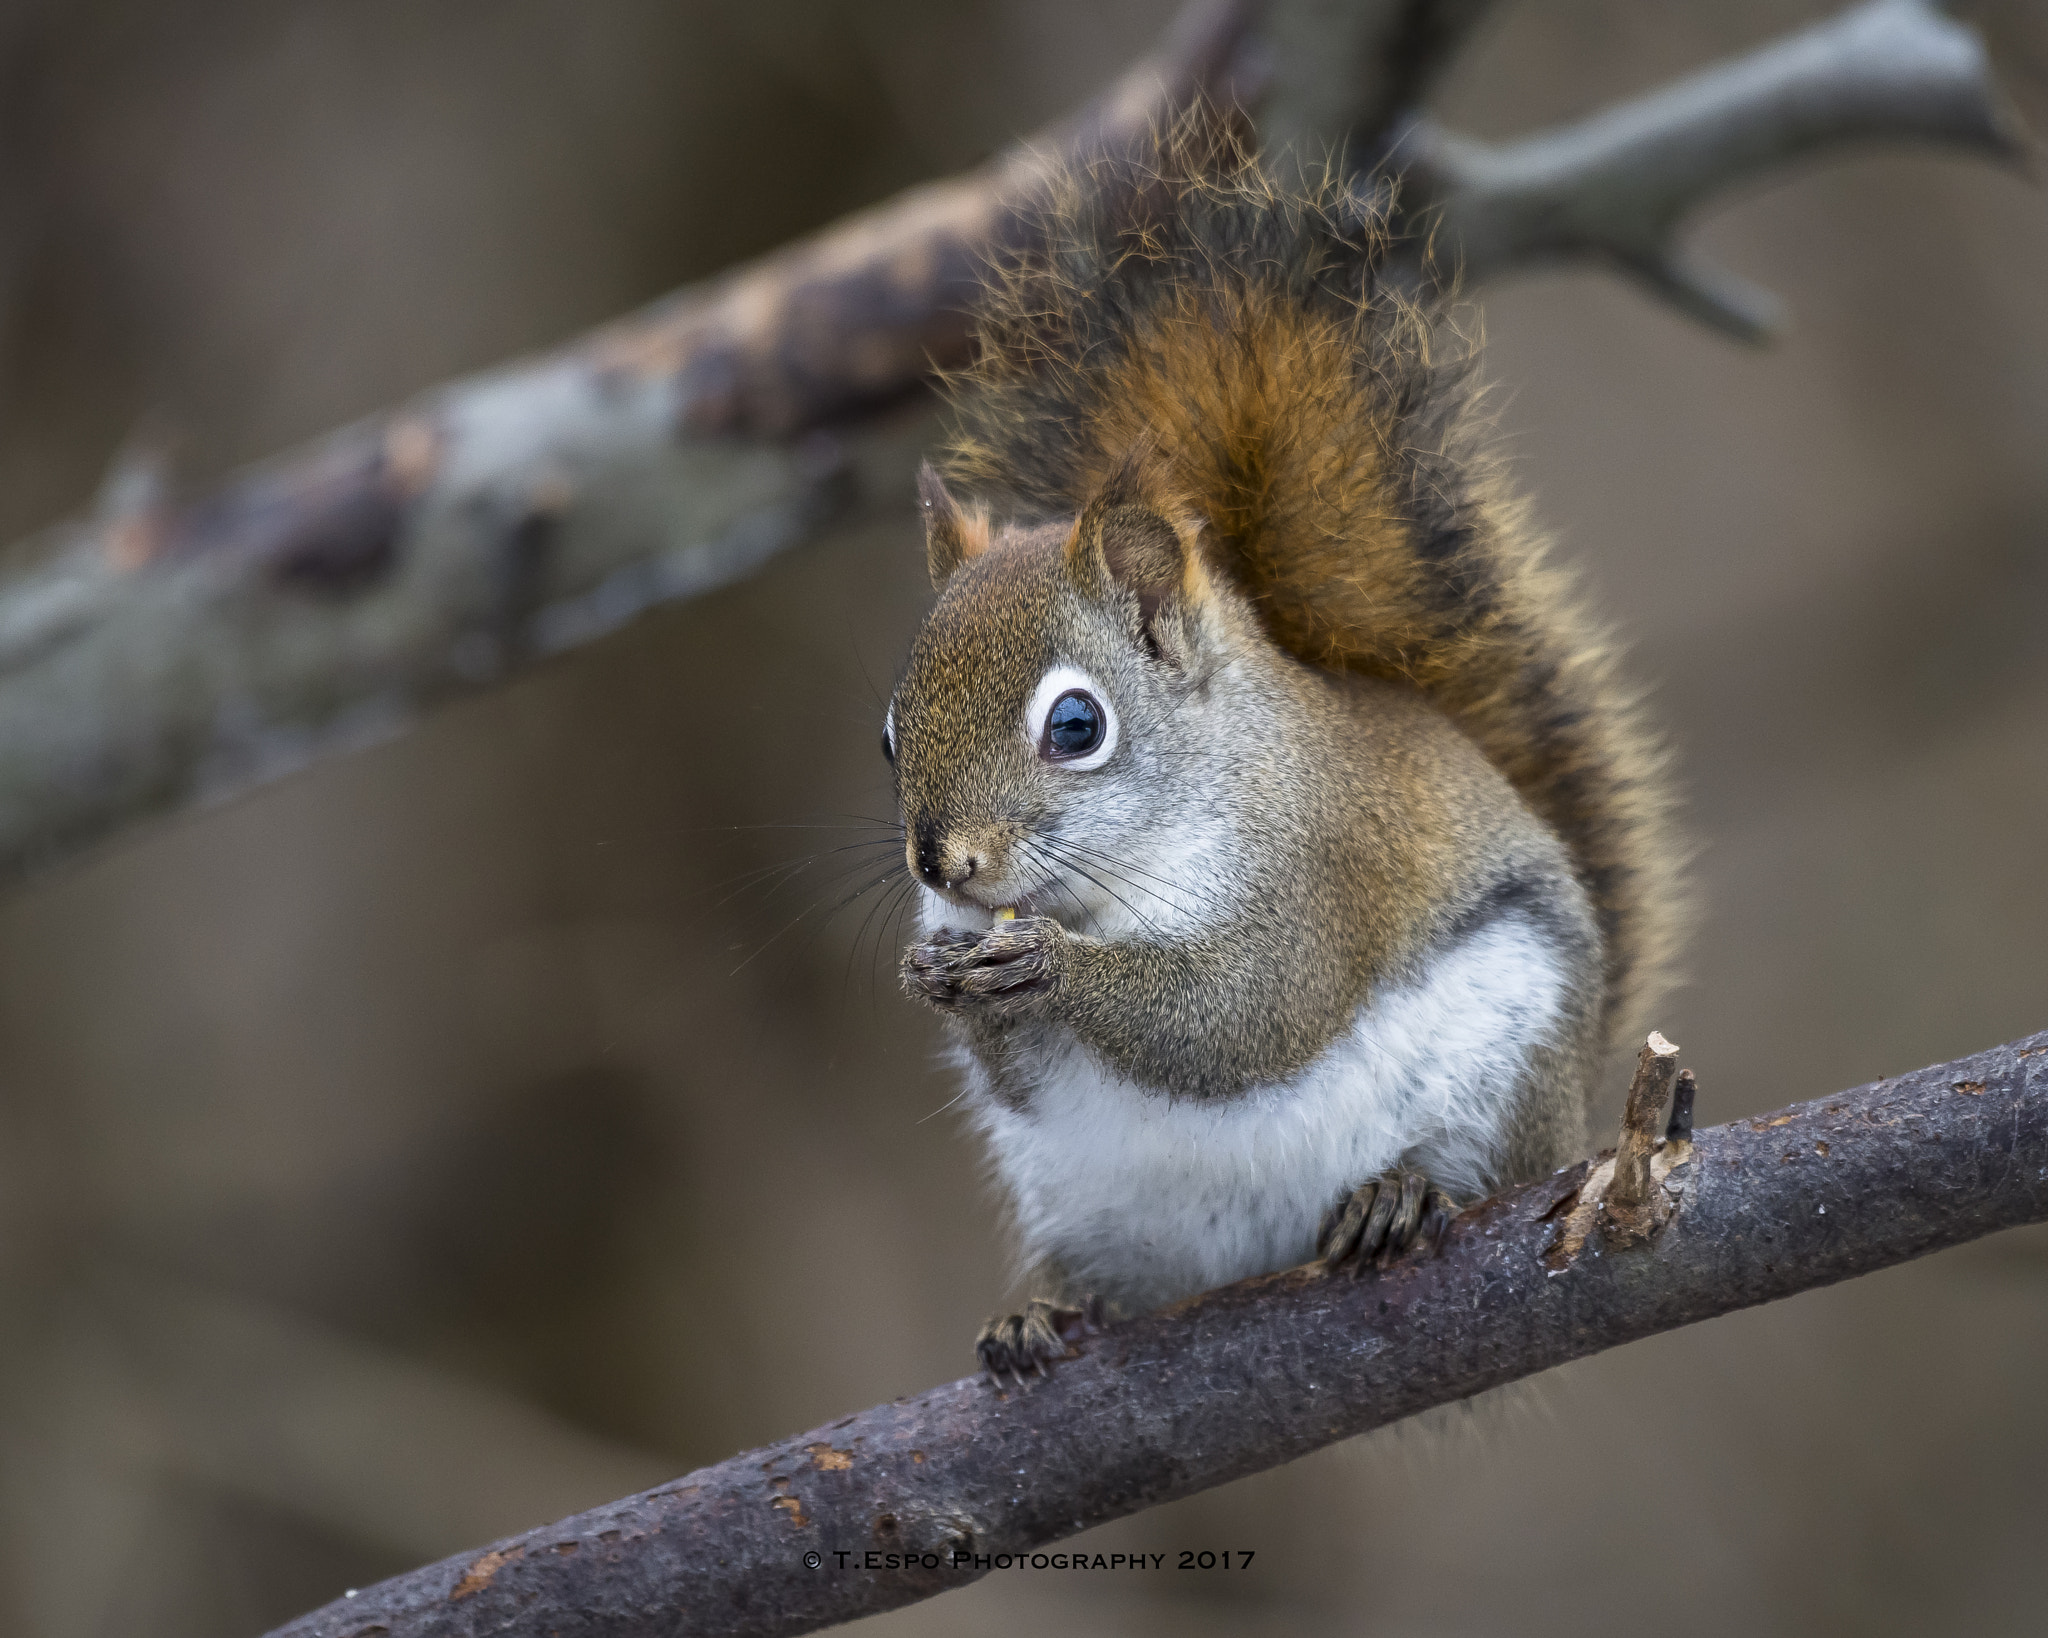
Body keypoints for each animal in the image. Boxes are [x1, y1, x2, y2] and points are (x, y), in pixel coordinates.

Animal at [883, 119, 1676, 1386]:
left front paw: (1050, 969)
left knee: (1474, 1166)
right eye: (889, 729)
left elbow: (1246, 1014)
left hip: (1503, 1066)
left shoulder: (1318, 872)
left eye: (1075, 726)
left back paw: (1402, 1195)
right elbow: (1019, 1061)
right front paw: (933, 975)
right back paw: (1043, 1311)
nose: (940, 865)